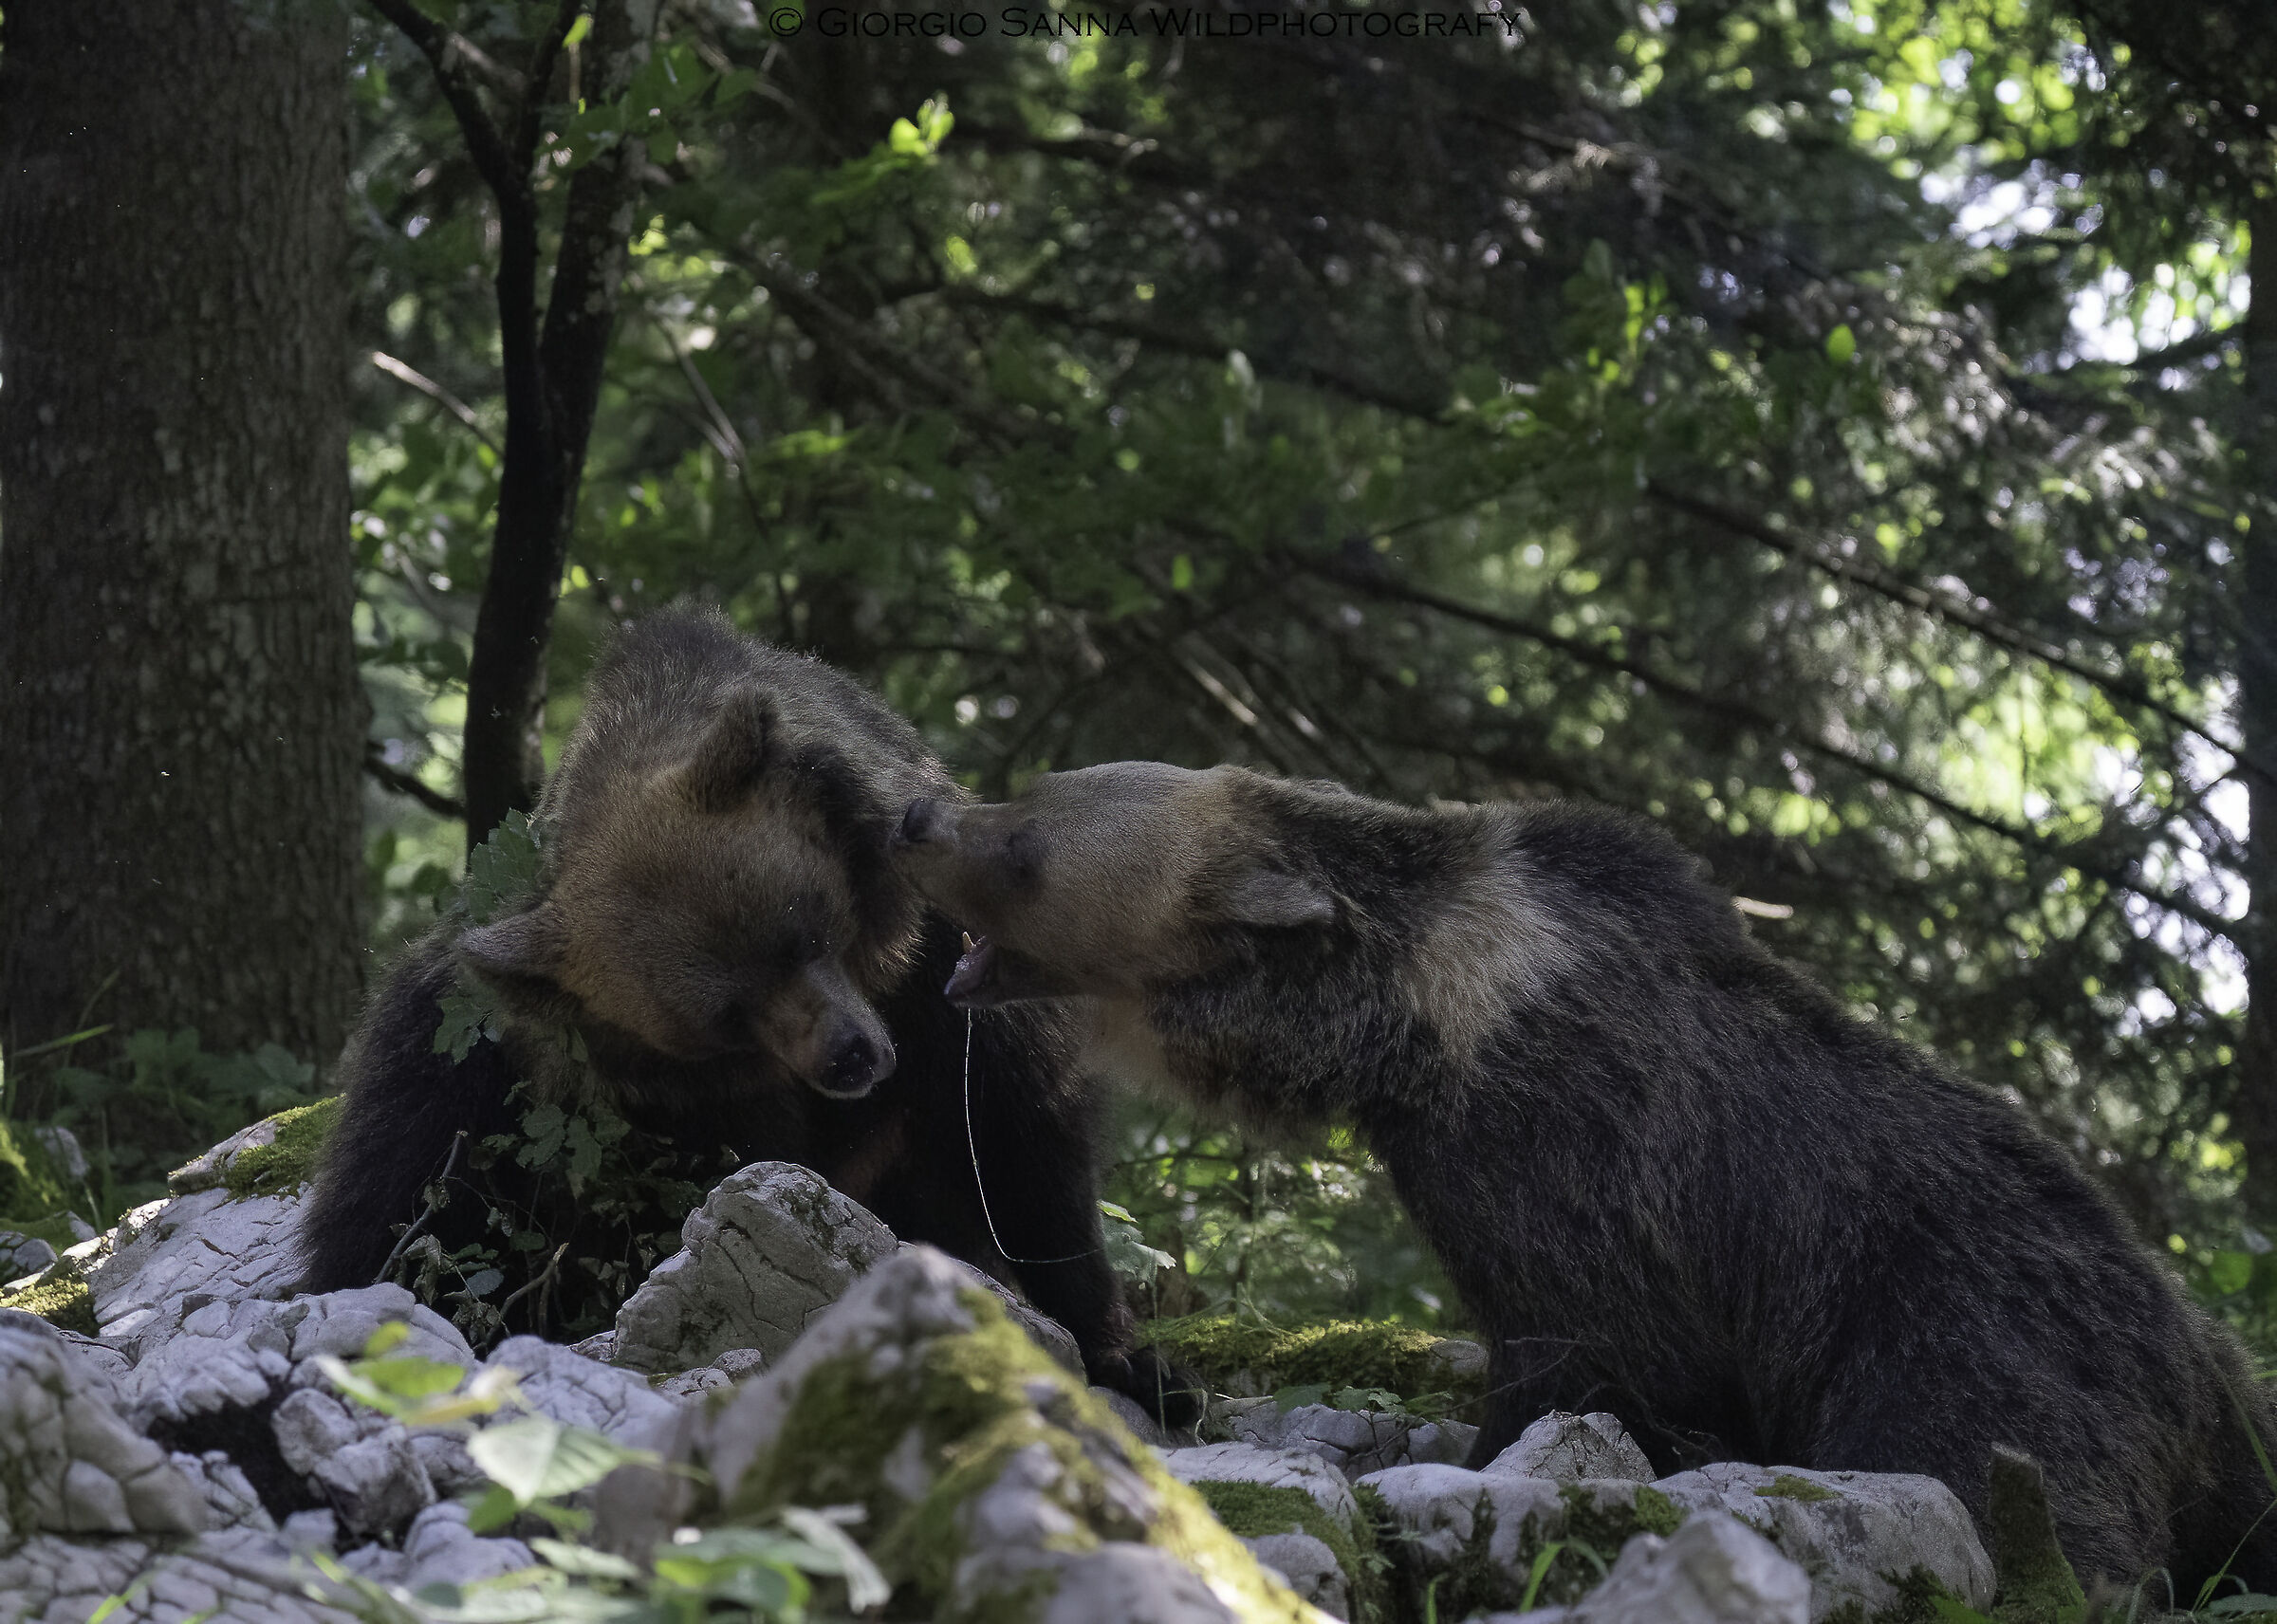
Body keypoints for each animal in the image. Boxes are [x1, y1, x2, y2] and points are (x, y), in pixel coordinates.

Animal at [300, 609, 1192, 1421]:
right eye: (725, 1016)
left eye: (801, 932)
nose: (850, 1058)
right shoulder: (662, 1104)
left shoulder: (950, 971)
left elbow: (1020, 1134)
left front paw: (1134, 1359)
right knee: (403, 1187)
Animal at [890, 759, 2277, 1593]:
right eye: (1026, 792)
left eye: (1025, 841)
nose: (918, 813)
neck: (1413, 1034)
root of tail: (2206, 1378)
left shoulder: (1575, 1163)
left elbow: (1583, 1353)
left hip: (1974, 1337)